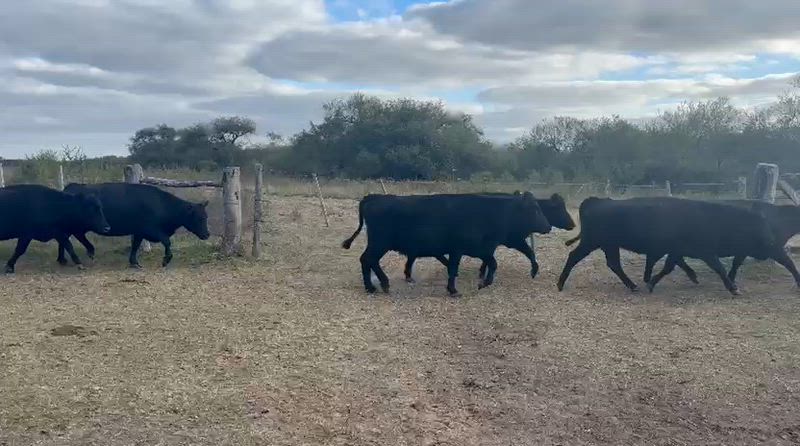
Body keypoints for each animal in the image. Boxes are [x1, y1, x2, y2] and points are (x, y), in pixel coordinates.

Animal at [58, 183, 210, 268]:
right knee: (67, 238)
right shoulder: (151, 229)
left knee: (64, 239)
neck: (162, 204)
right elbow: (167, 242)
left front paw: (134, 262)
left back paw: (63, 259)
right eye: (199, 218)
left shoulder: (139, 231)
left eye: (206, 216)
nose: (207, 234)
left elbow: (135, 245)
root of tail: (70, 187)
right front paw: (166, 260)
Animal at [342, 192, 552, 296]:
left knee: (367, 260)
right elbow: (453, 268)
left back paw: (373, 287)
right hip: (380, 242)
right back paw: (380, 285)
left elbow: (492, 263)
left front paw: (483, 283)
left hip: (379, 243)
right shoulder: (459, 248)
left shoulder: (479, 248)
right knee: (368, 260)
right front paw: (454, 290)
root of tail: (373, 197)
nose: (548, 226)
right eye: (534, 209)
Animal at [556, 197, 784, 295]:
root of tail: (596, 201)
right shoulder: (705, 250)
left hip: (608, 245)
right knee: (574, 257)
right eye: (759, 226)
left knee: (614, 264)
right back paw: (560, 283)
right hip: (593, 241)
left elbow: (670, 266)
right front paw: (733, 287)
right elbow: (718, 267)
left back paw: (632, 285)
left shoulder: (677, 250)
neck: (712, 219)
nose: (772, 242)